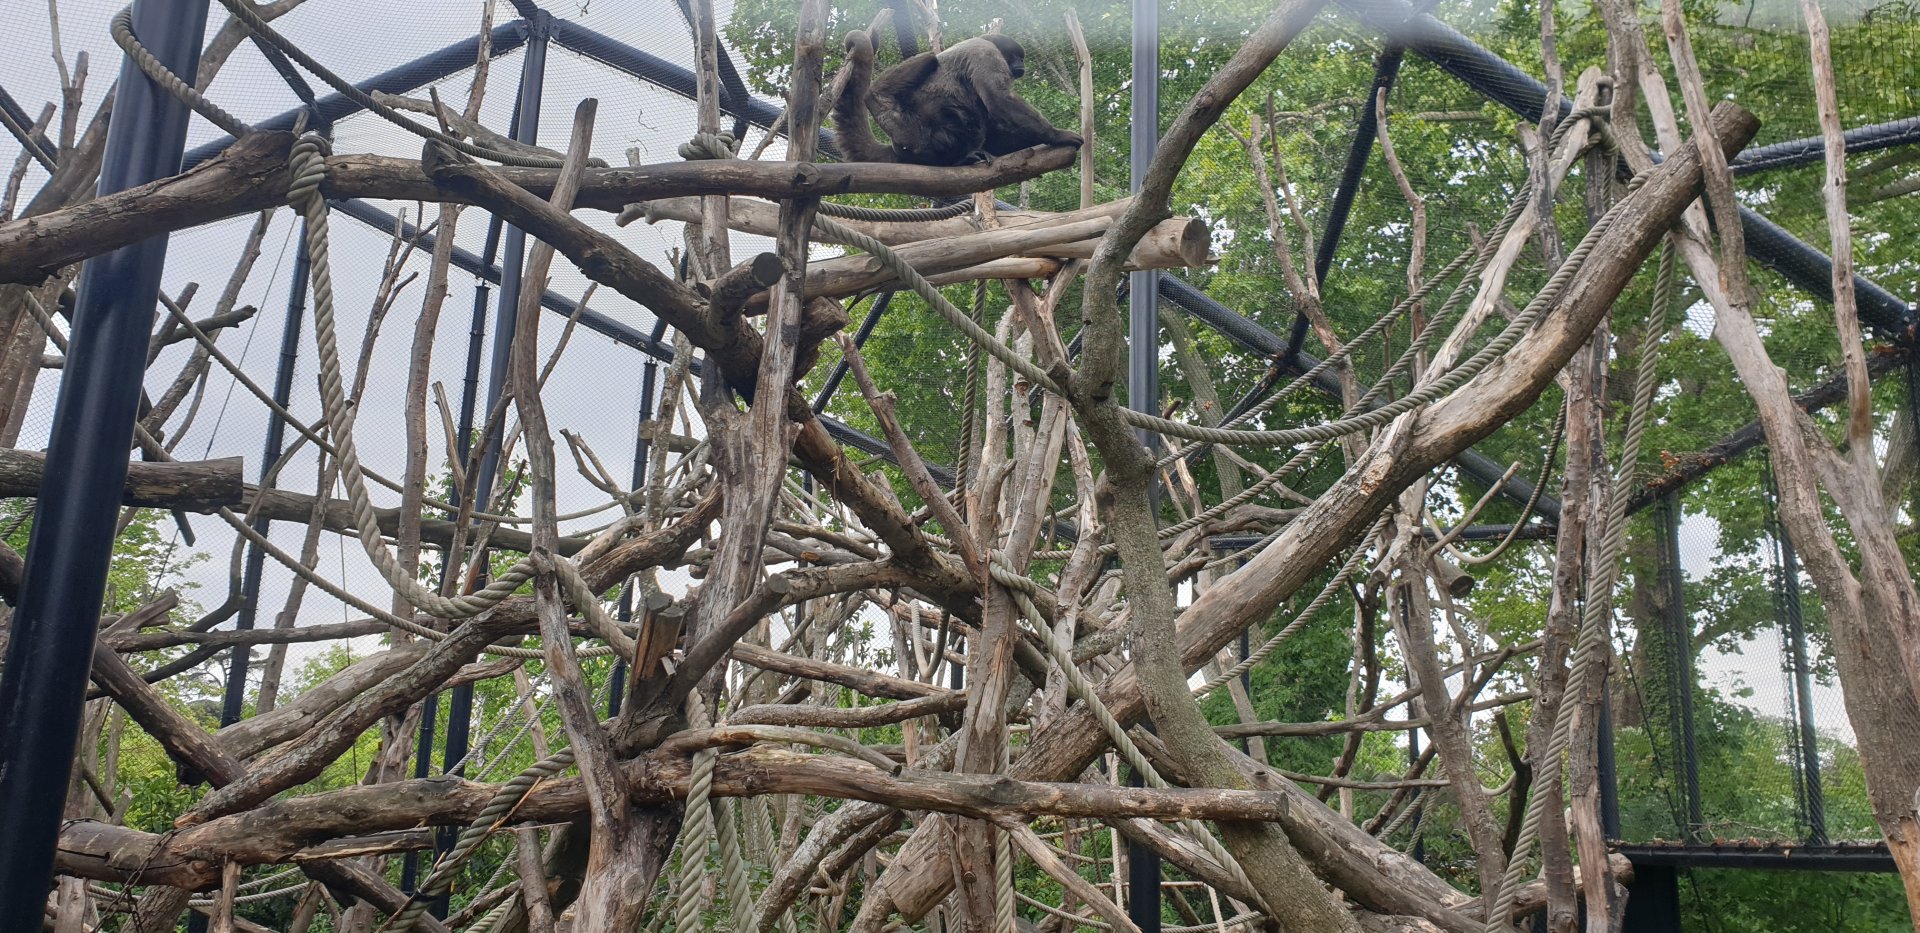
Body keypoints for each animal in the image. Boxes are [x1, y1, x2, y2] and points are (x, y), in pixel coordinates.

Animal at [832, 30, 1083, 166]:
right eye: (1017, 57)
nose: (1022, 65)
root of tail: (896, 146)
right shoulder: (984, 51)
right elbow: (998, 98)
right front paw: (1057, 135)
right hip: (918, 132)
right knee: (932, 63)